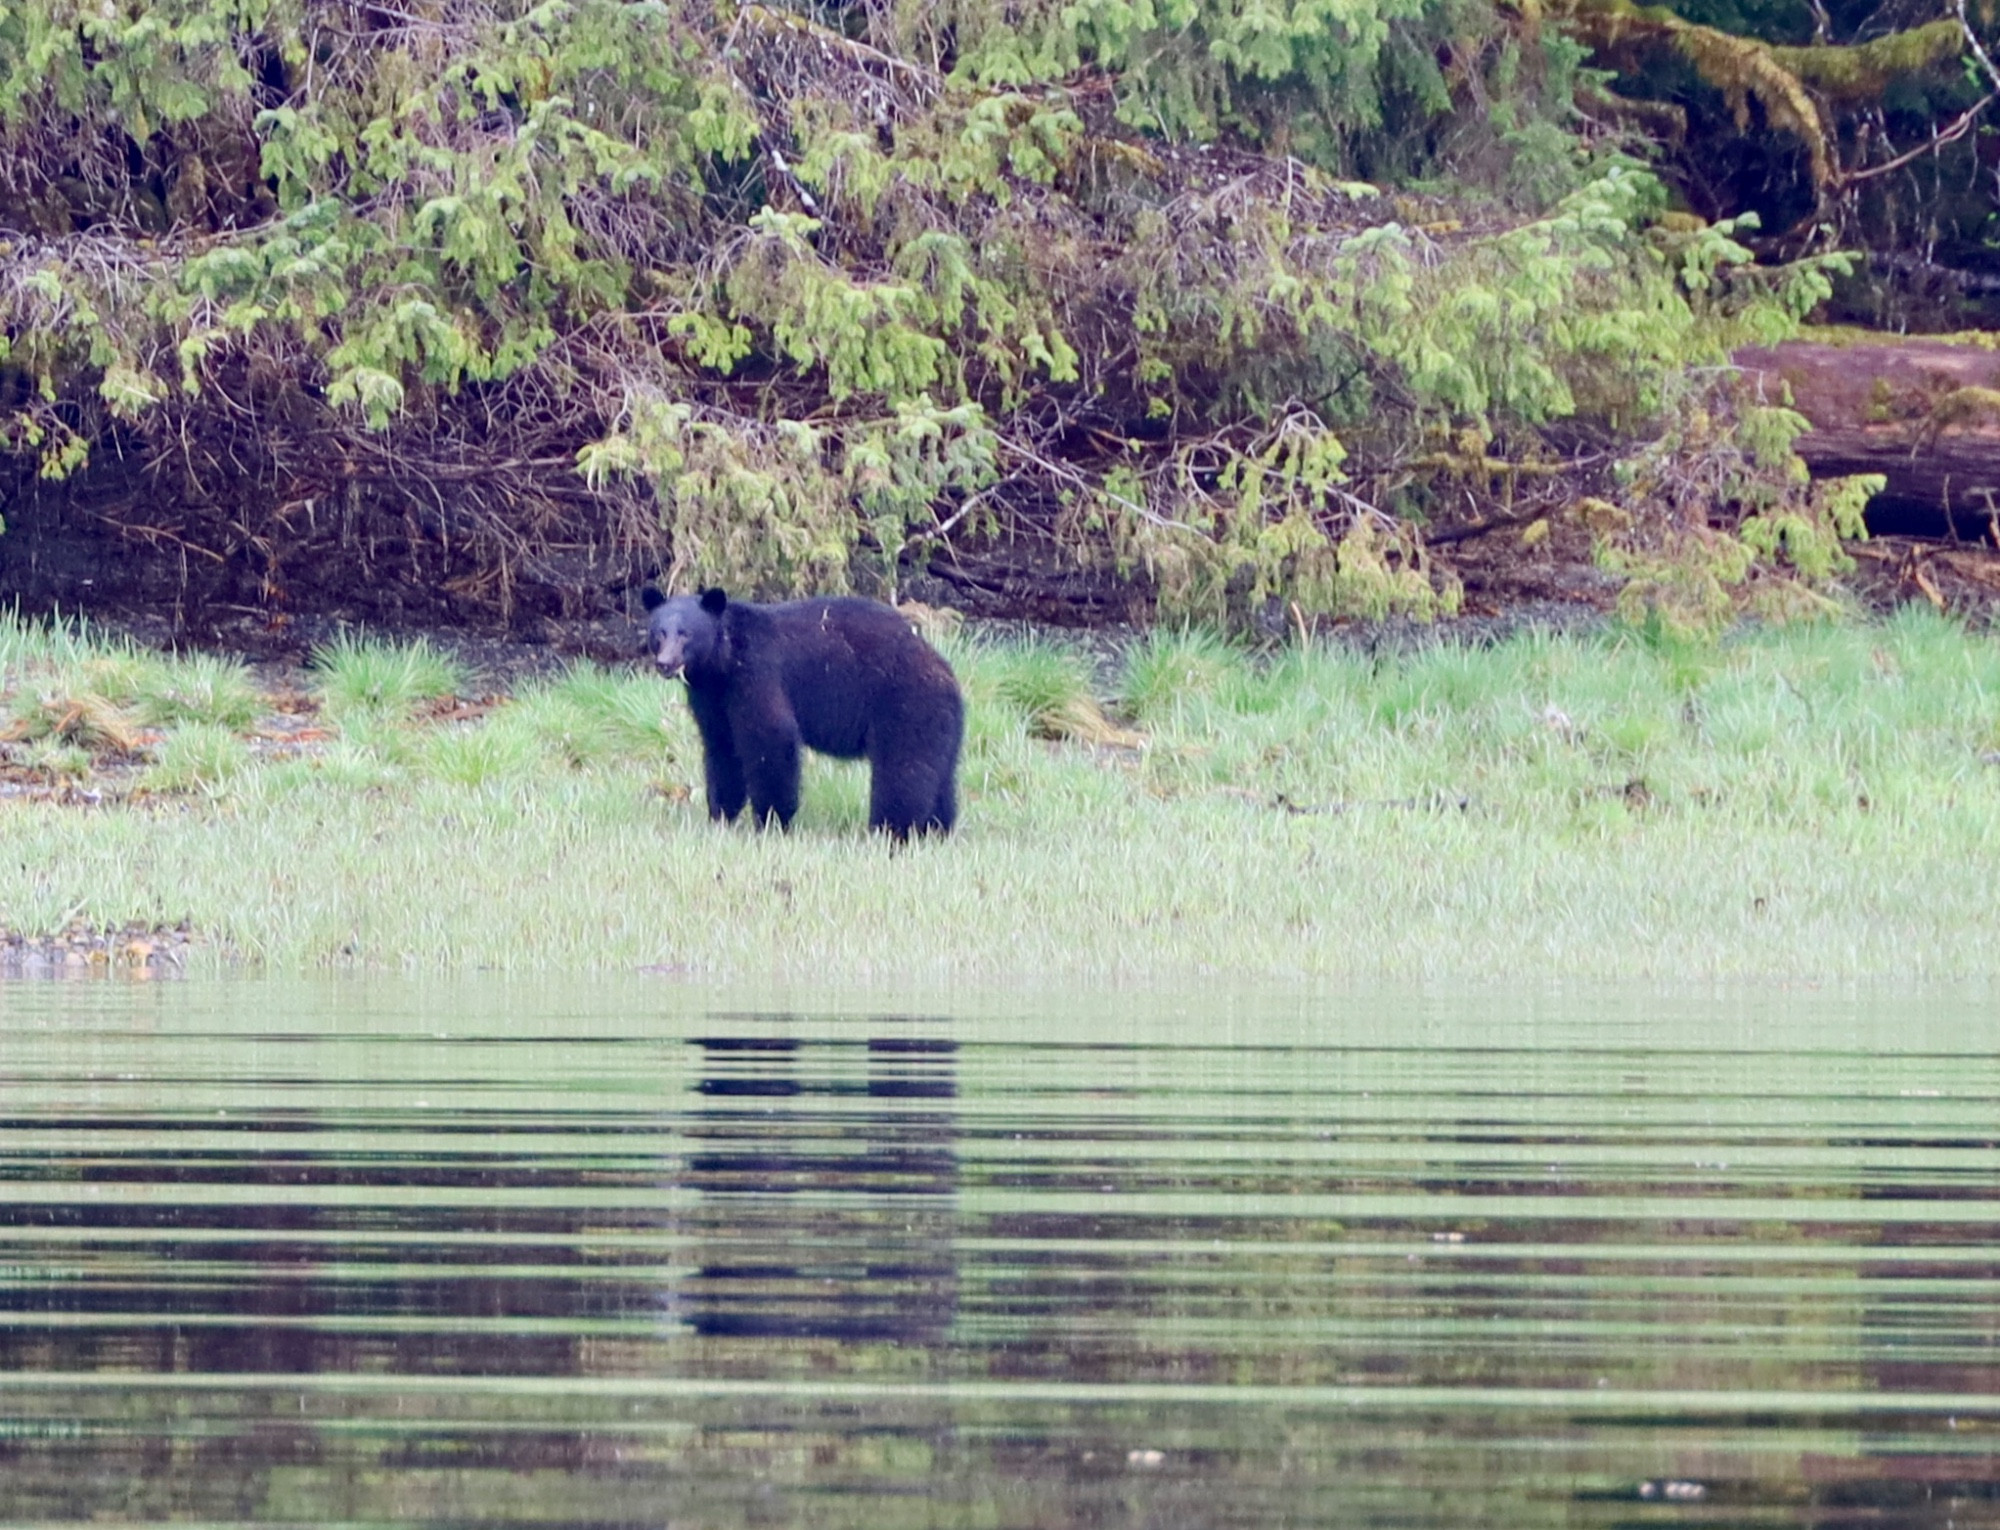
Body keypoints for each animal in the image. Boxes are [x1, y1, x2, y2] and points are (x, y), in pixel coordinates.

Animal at [636, 592, 956, 840]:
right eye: (659, 633)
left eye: (686, 633)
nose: (665, 663)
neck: (723, 662)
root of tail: (947, 675)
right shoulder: (712, 699)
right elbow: (722, 749)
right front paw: (720, 815)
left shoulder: (757, 673)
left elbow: (772, 738)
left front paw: (771, 821)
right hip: (936, 724)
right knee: (939, 776)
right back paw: (937, 829)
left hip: (904, 707)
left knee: (903, 772)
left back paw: (890, 831)